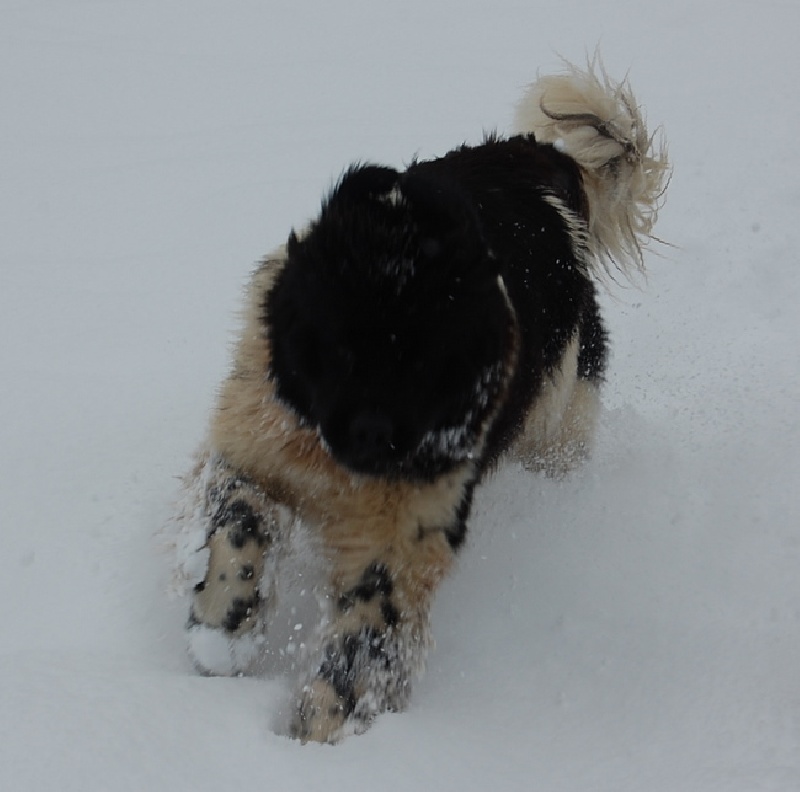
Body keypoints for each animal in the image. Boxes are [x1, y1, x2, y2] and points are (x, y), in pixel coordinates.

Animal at [175, 60, 668, 744]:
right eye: (340, 346)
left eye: (436, 362)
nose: (376, 438)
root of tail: (542, 160)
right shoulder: (255, 436)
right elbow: (237, 525)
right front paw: (222, 631)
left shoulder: (409, 533)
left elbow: (363, 641)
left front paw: (317, 735)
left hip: (558, 422)